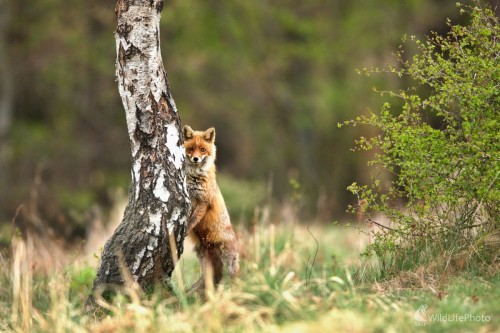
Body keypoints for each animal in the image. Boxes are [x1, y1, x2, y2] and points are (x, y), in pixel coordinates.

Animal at [184, 125, 240, 290]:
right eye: (191, 149)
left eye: (202, 150)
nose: (195, 159)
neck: (193, 176)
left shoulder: (203, 201)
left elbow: (193, 220)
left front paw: (185, 229)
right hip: (205, 263)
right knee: (207, 281)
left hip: (229, 264)